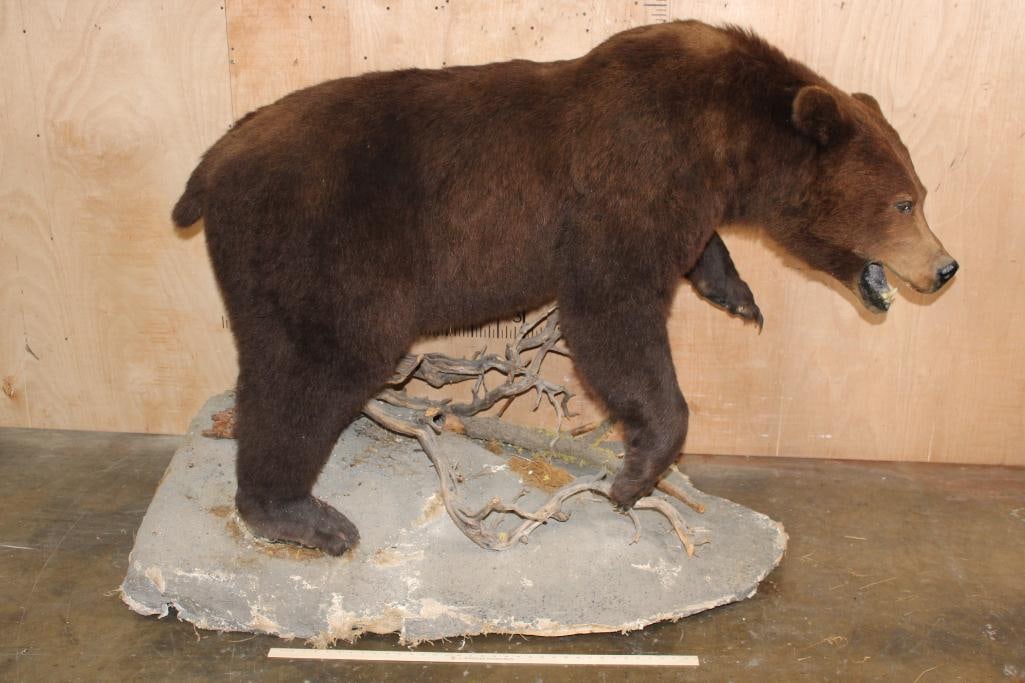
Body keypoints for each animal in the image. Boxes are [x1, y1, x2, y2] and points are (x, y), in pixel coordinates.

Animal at [173, 20, 957, 555]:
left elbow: (690, 252)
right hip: (319, 250)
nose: (945, 266)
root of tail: (211, 164)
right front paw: (633, 475)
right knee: (316, 369)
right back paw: (304, 514)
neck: (724, 139)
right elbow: (612, 316)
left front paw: (735, 291)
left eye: (919, 192)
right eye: (903, 203)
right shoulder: (626, 179)